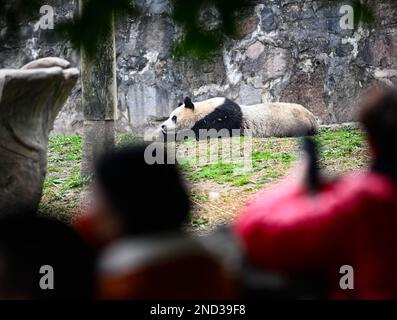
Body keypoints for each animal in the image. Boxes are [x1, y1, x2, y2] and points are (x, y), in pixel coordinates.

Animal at [159, 96, 318, 139]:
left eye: (174, 117)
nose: (163, 126)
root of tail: (312, 118)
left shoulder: (222, 115)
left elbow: (210, 131)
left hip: (296, 123)